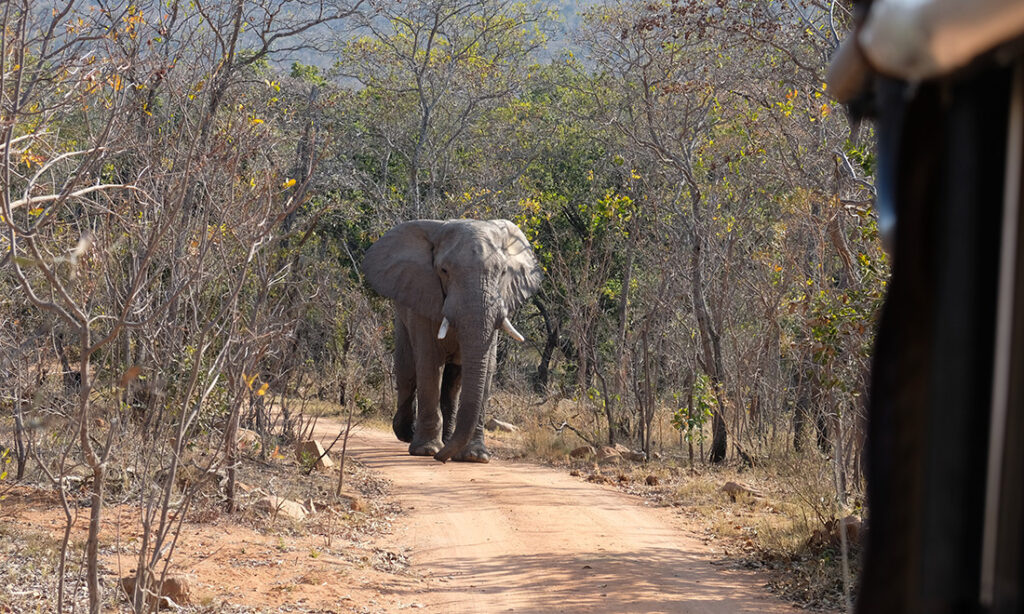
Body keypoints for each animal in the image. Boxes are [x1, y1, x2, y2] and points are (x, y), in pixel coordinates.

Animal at [362, 217, 544, 462]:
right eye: (444, 270)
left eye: (503, 272)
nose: (442, 459)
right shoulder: (423, 298)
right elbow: (429, 364)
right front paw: (427, 451)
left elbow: (487, 368)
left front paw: (475, 457)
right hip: (402, 313)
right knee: (407, 373)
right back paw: (407, 434)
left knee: (452, 385)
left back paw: (444, 440)